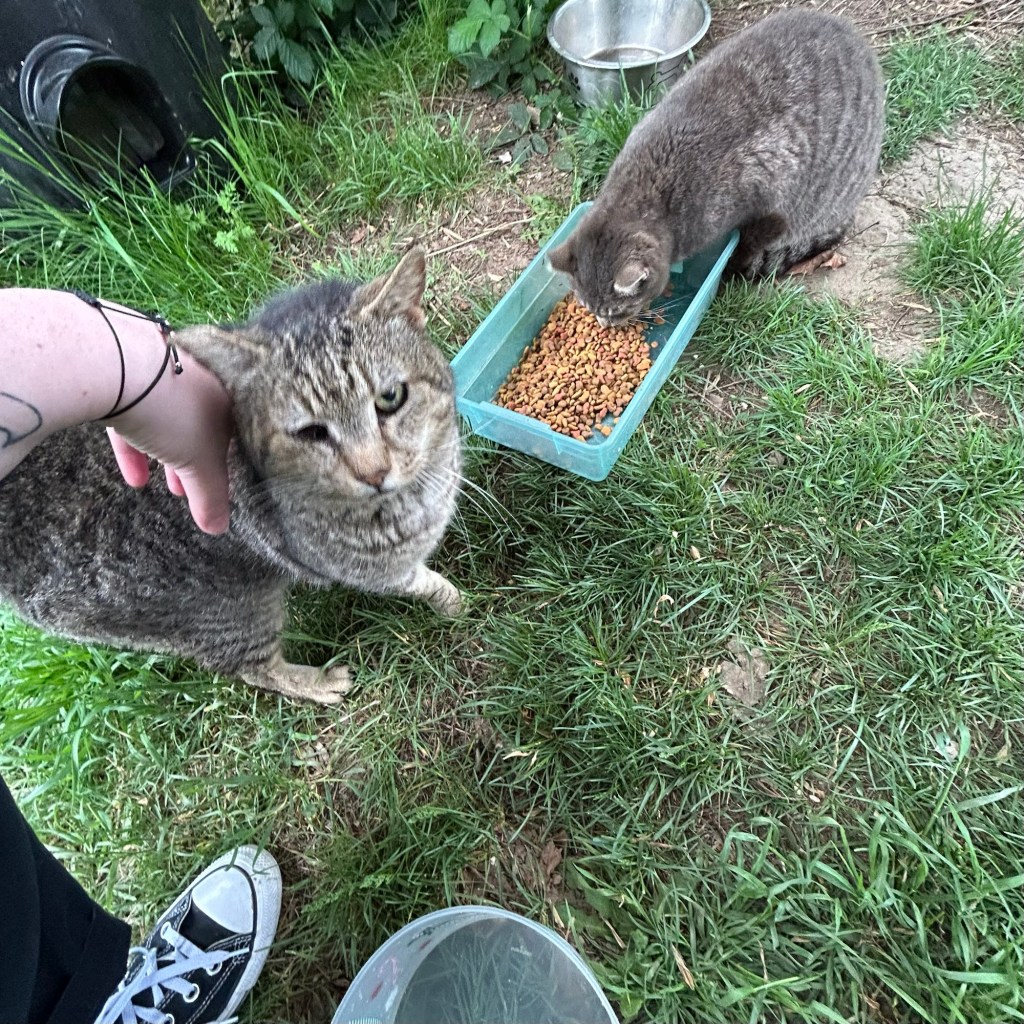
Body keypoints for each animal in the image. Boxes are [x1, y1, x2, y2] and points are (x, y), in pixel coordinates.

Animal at [0, 248, 463, 704]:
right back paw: (319, 681)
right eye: (311, 433)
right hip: (232, 614)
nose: (375, 472)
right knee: (255, 670)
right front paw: (458, 604)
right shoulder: (377, 571)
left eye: (391, 398)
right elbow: (424, 583)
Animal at [547, 10, 885, 326]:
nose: (604, 324)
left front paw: (733, 265)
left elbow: (749, 243)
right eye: (587, 306)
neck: (648, 182)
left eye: (617, 311)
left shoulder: (771, 203)